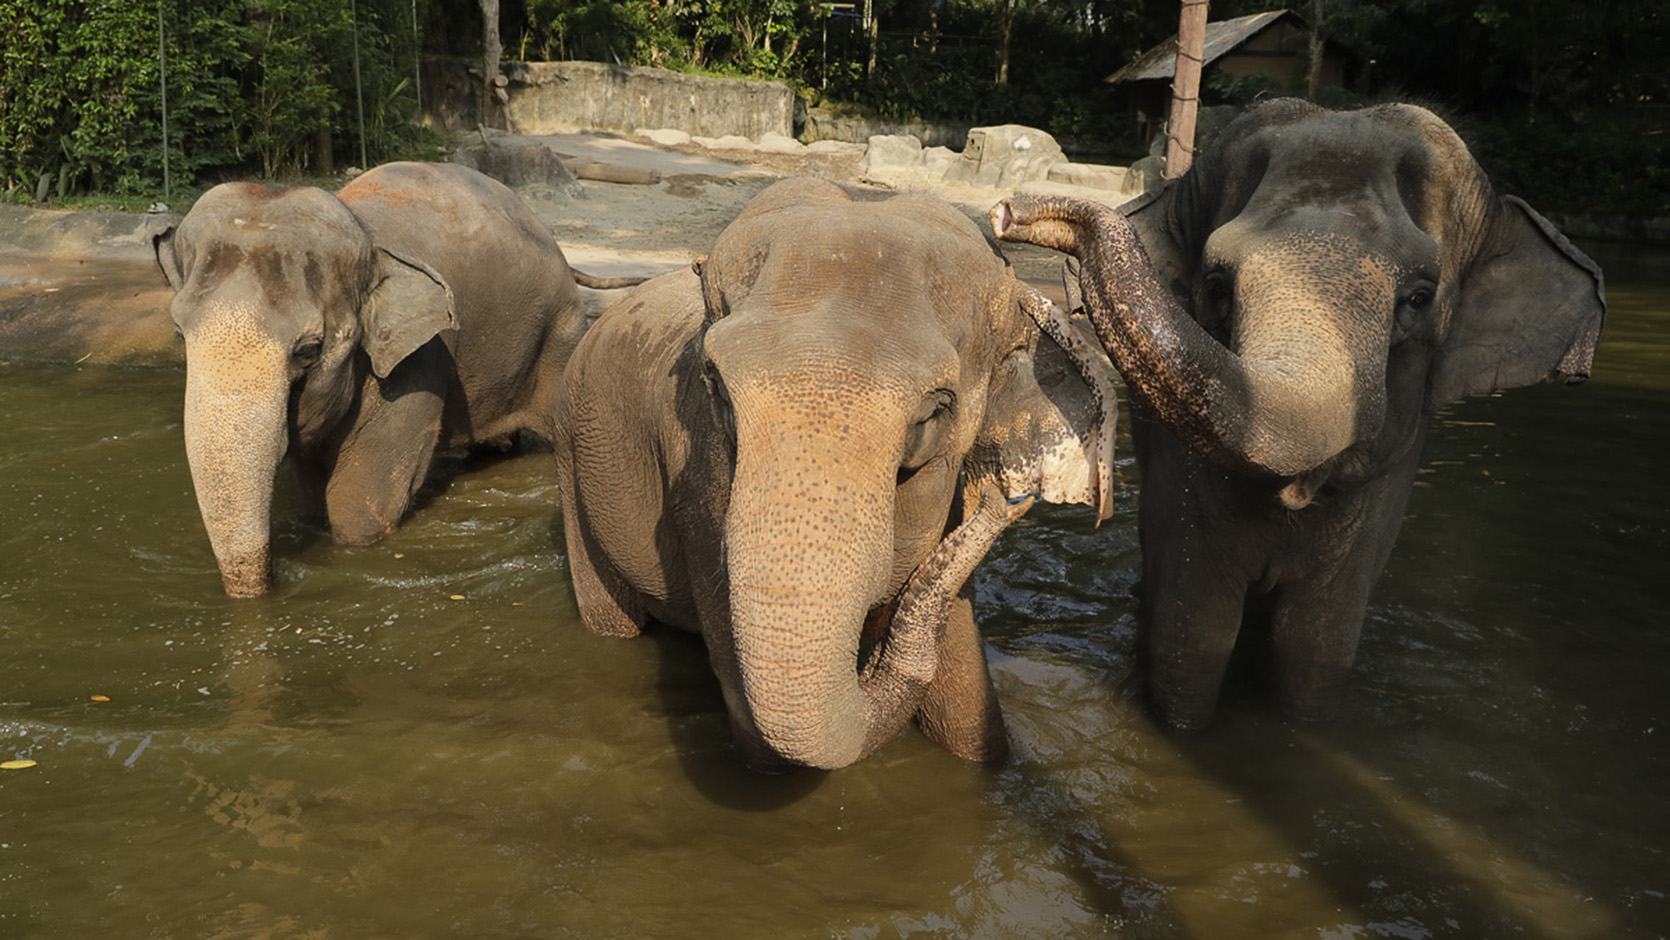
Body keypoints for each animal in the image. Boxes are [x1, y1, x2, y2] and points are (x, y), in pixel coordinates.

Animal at [151, 156, 637, 591]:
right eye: (179, 334)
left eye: (309, 350)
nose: (271, 584)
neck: (365, 238)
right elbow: (313, 492)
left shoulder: (418, 361)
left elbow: (359, 510)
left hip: (560, 331)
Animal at [557, 178, 1122, 771]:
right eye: (714, 384)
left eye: (935, 410)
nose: (1007, 503)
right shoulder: (700, 482)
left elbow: (966, 708)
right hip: (572, 454)